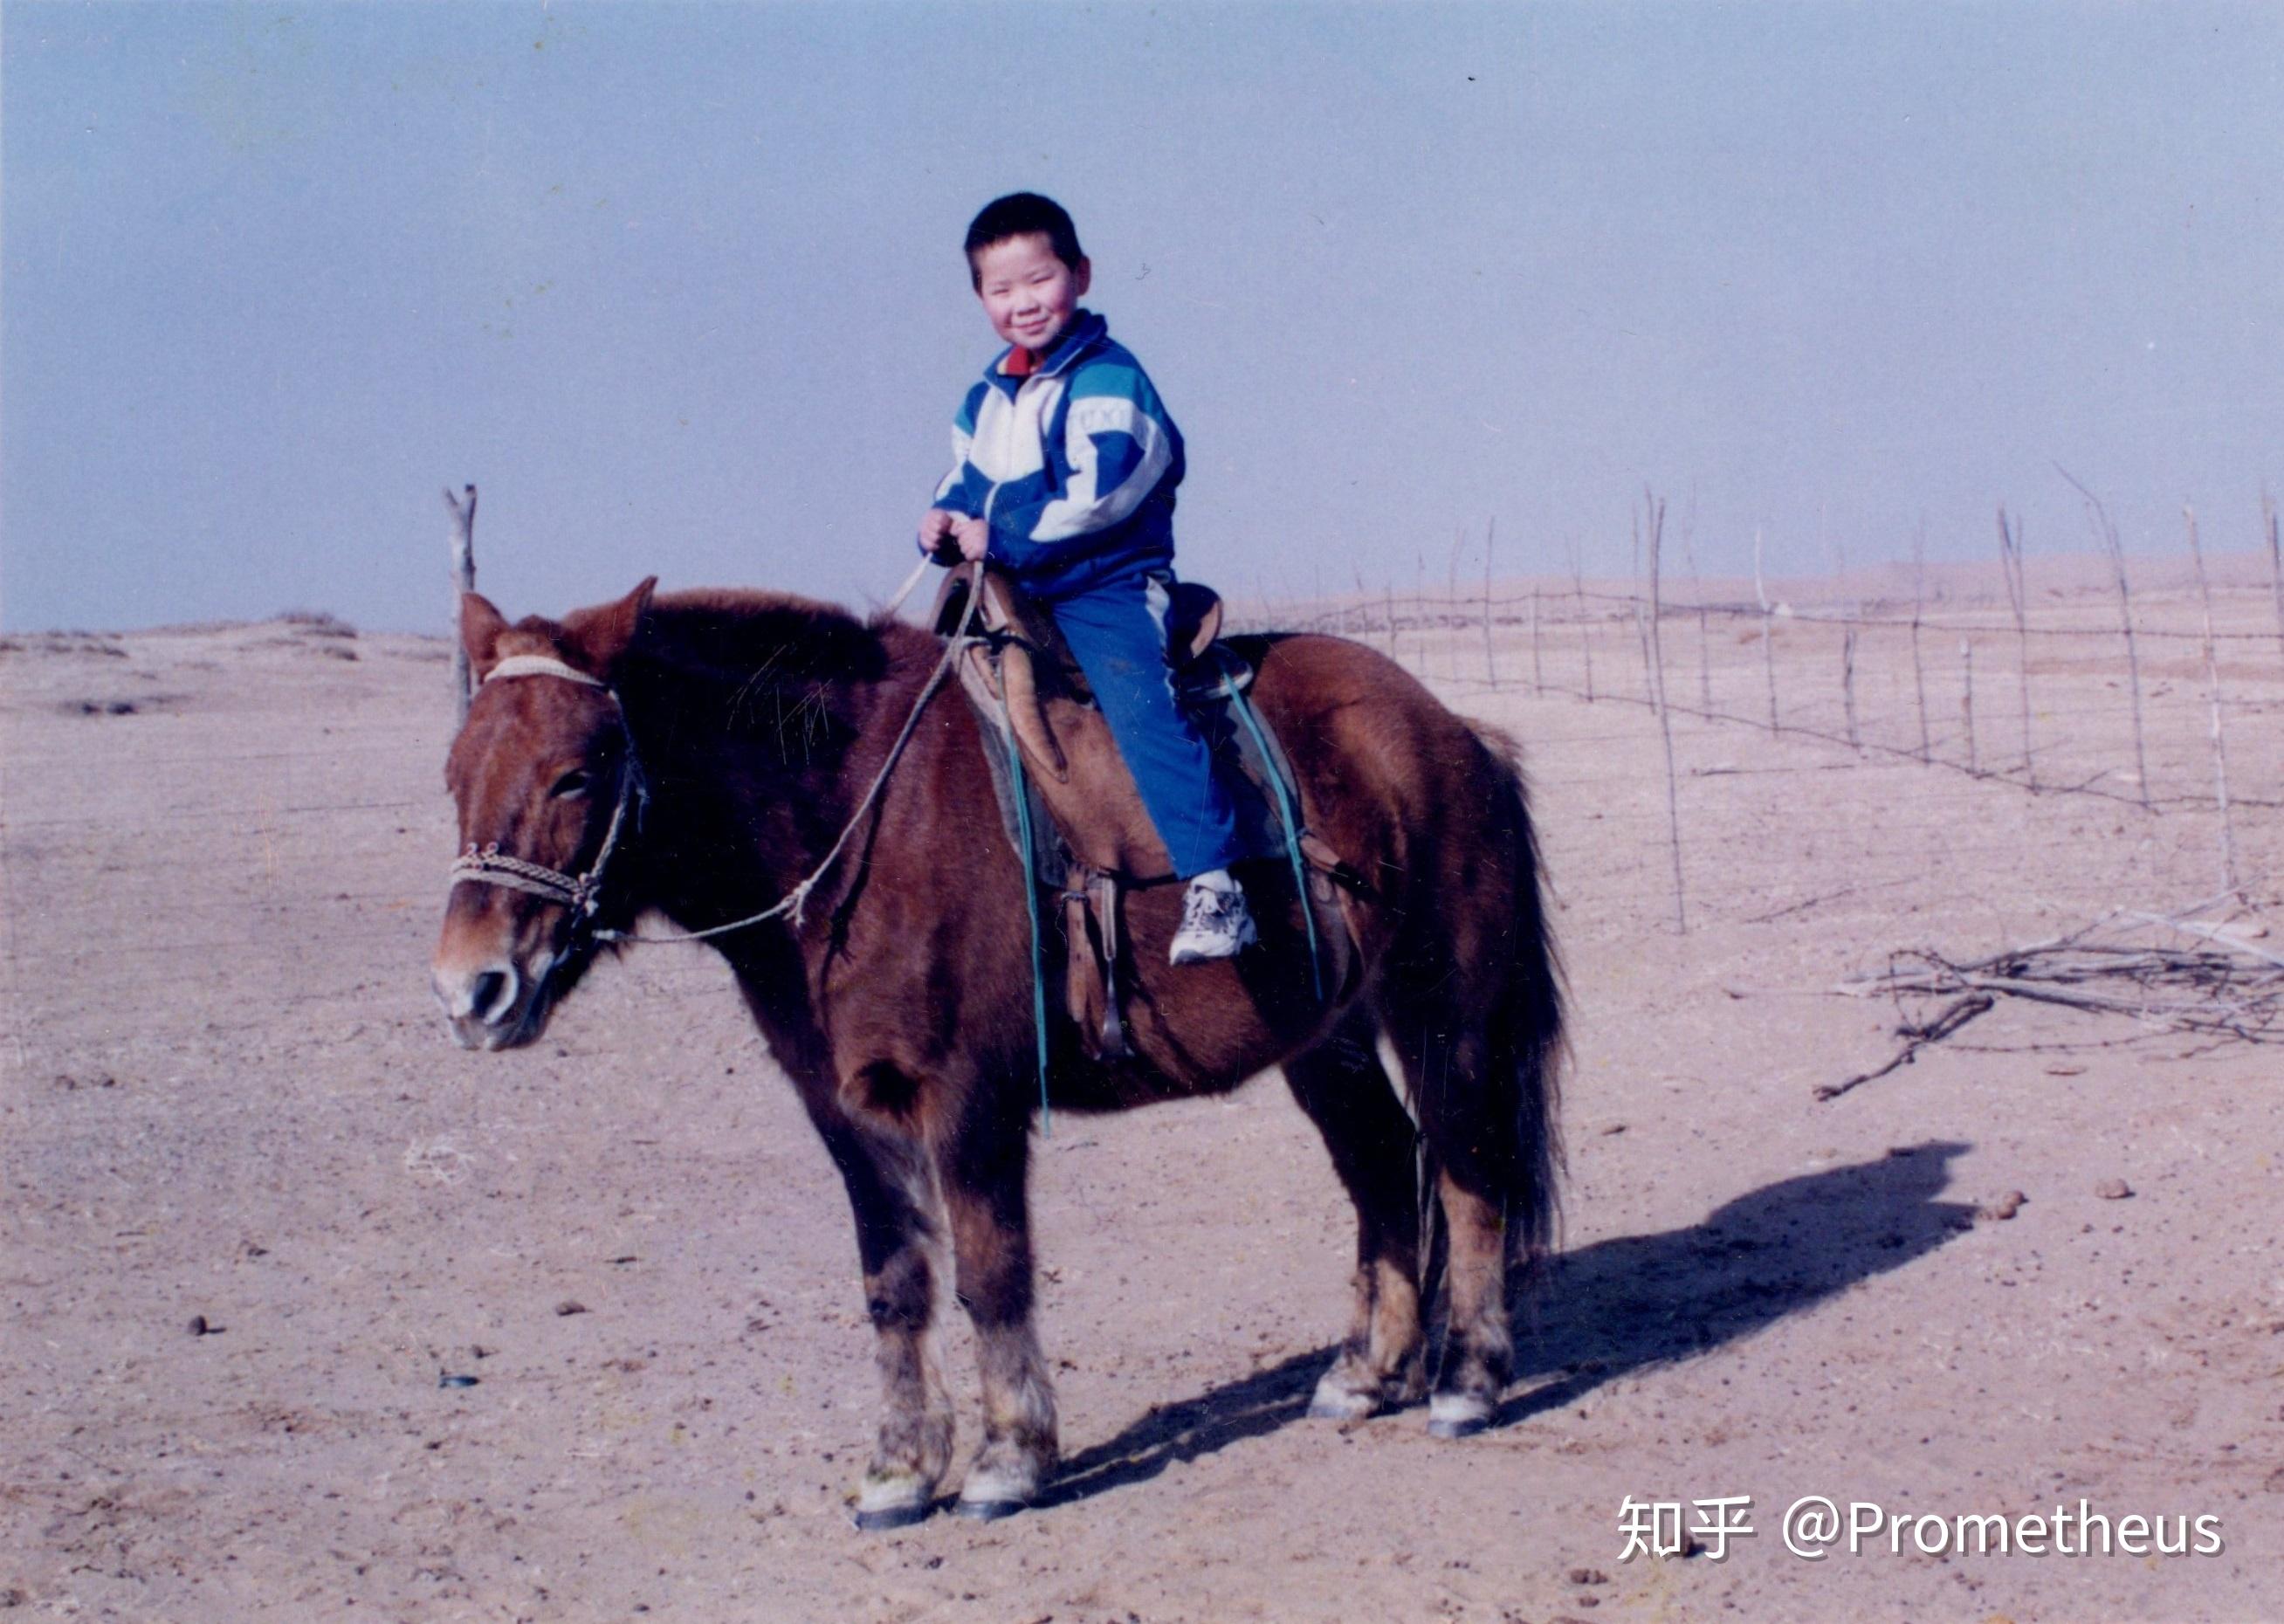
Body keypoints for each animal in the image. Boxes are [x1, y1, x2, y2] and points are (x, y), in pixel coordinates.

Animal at [430, 576, 1563, 1527]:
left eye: (577, 776)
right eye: (454, 773)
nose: (470, 989)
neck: (854, 826)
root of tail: (1448, 731)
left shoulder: (967, 1101)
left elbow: (991, 1273)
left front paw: (1009, 1458)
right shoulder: (845, 1113)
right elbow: (893, 1283)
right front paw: (897, 1470)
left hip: (1444, 1010)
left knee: (1466, 1171)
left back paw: (1468, 1383)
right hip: (1328, 1037)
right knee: (1381, 1166)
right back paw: (1367, 1373)